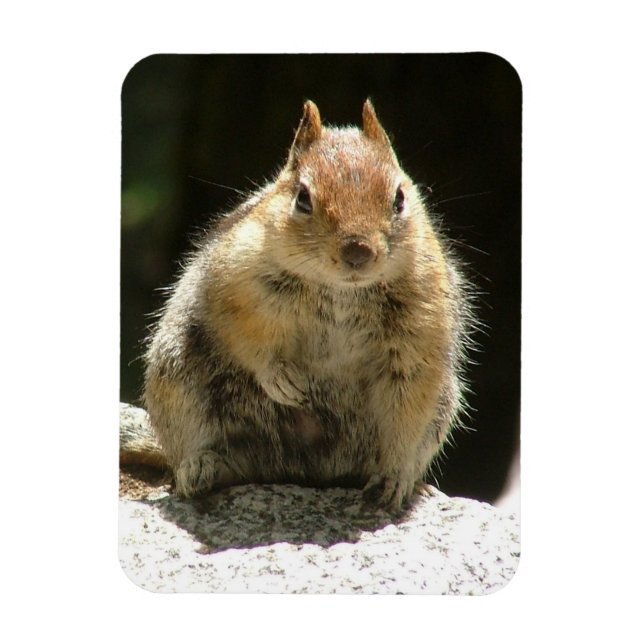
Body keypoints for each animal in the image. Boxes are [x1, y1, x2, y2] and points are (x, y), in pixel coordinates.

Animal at [122, 99, 473, 511]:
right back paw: (203, 467)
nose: (358, 251)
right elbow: (245, 336)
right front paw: (279, 378)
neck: (341, 290)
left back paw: (416, 484)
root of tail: (307, 473)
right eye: (303, 198)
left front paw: (396, 476)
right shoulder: (235, 284)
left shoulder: (421, 329)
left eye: (399, 198)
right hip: (182, 381)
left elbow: (409, 409)